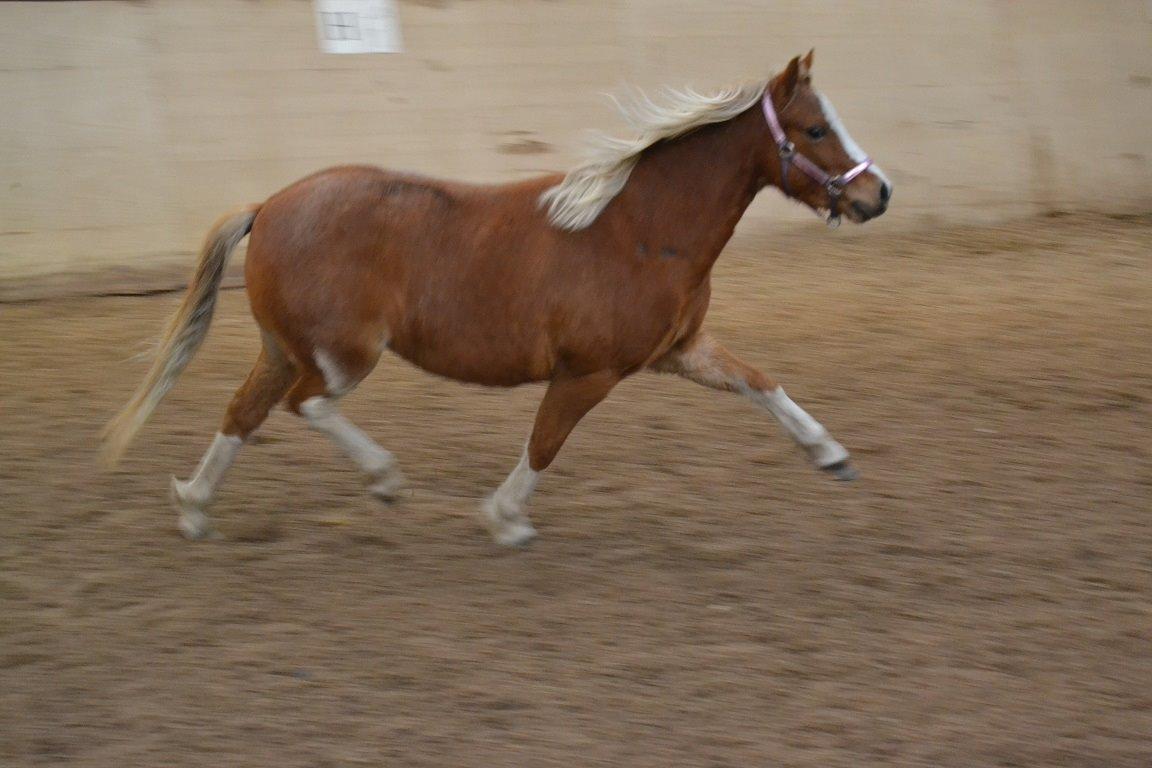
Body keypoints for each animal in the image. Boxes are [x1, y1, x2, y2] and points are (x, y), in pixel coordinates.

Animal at [101, 50, 889, 543]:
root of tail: (267, 206)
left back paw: (194, 509)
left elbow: (761, 382)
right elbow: (544, 445)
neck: (642, 231)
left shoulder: (683, 350)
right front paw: (505, 519)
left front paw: (831, 455)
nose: (877, 195)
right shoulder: (589, 372)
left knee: (243, 413)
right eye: (816, 128)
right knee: (308, 406)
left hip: (282, 348)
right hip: (343, 355)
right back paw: (384, 480)